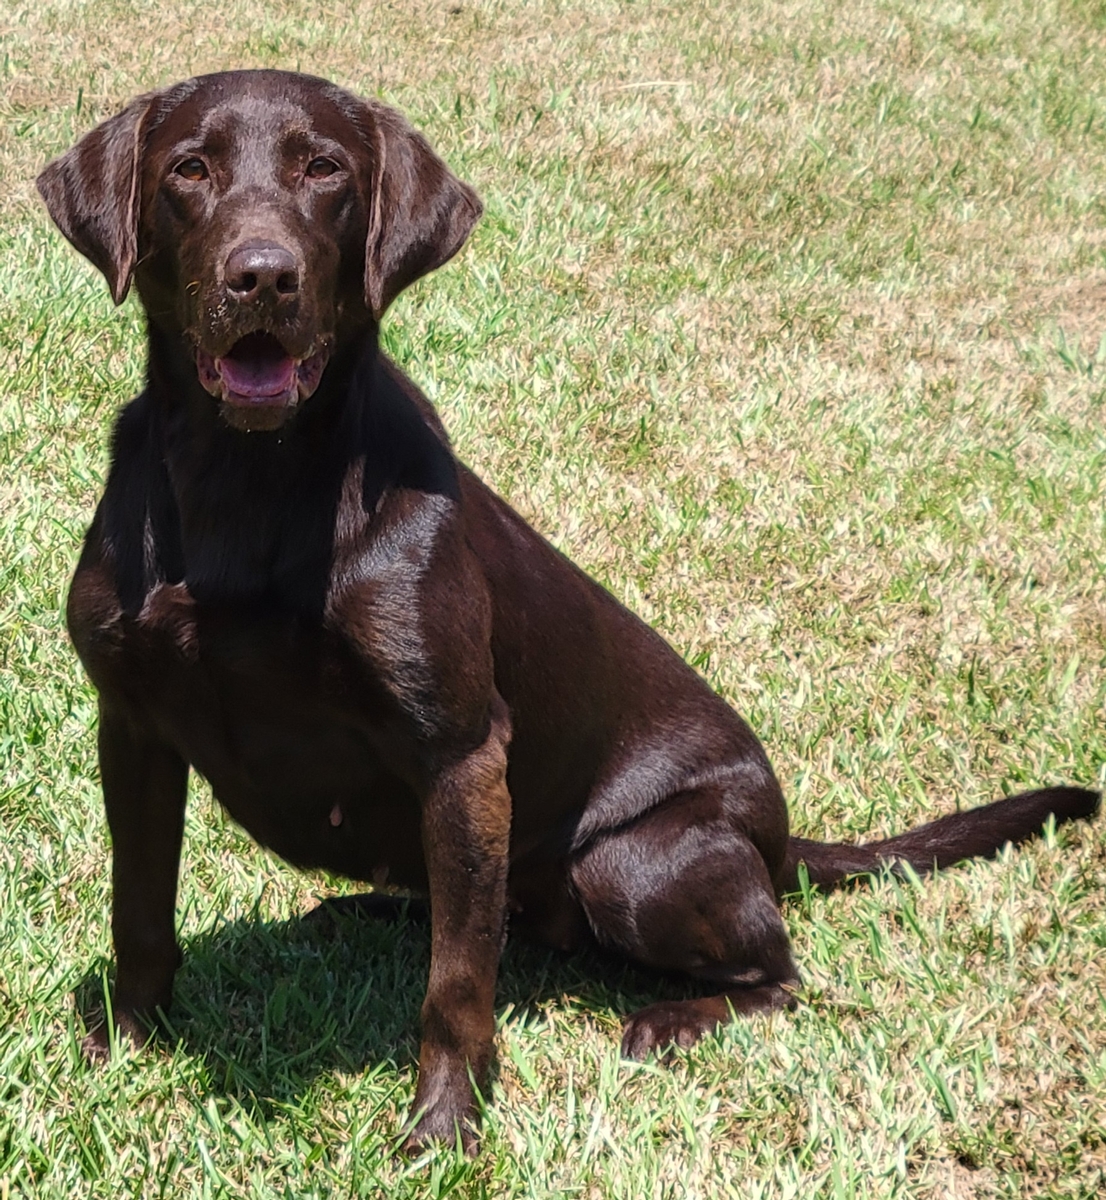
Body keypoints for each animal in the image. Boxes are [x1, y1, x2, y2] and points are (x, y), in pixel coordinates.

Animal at [36, 68, 1094, 1152]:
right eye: (188, 170)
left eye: (324, 169)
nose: (262, 276)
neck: (244, 483)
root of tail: (776, 841)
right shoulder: (132, 729)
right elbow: (139, 911)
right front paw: (125, 1049)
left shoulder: (460, 753)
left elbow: (457, 985)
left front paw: (444, 1130)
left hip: (633, 861)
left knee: (765, 973)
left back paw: (671, 1019)